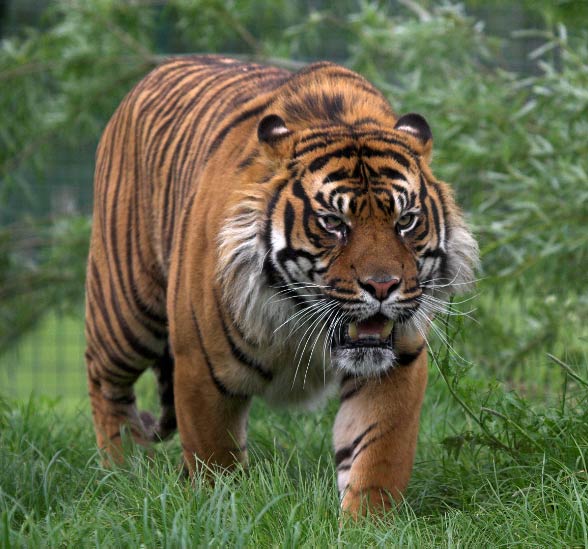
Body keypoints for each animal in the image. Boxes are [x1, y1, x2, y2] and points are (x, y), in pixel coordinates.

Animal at [85, 54, 480, 512]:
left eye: (406, 221)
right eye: (334, 223)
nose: (383, 287)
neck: (301, 317)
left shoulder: (396, 362)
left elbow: (377, 456)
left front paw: (367, 521)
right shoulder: (200, 367)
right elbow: (213, 459)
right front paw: (221, 508)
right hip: (126, 308)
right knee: (104, 379)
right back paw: (122, 467)